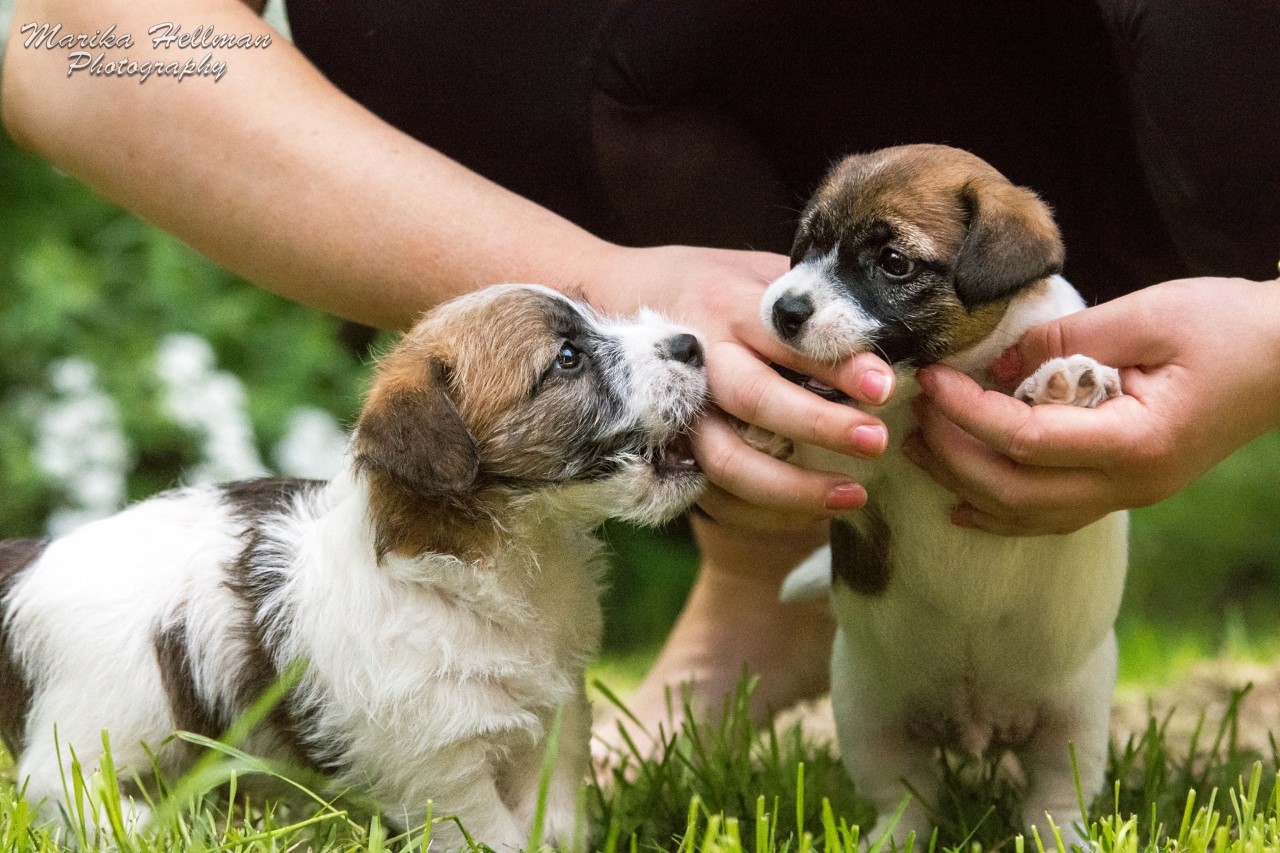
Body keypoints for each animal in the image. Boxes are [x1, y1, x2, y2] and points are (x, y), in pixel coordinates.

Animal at [0, 284, 706, 845]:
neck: (497, 565)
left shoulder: (554, 720)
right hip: (100, 721)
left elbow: (553, 819)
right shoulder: (442, 766)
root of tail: (34, 560)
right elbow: (492, 837)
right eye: (568, 359)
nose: (692, 343)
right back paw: (141, 826)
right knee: (54, 782)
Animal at [762, 144, 1126, 845]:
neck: (939, 381)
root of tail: (976, 724)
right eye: (808, 245)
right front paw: (770, 421)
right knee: (908, 797)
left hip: (1077, 720)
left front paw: (1066, 385)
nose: (782, 312)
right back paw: (889, 840)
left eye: (893, 261)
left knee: (1054, 795)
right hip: (869, 717)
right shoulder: (860, 458)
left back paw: (1060, 838)